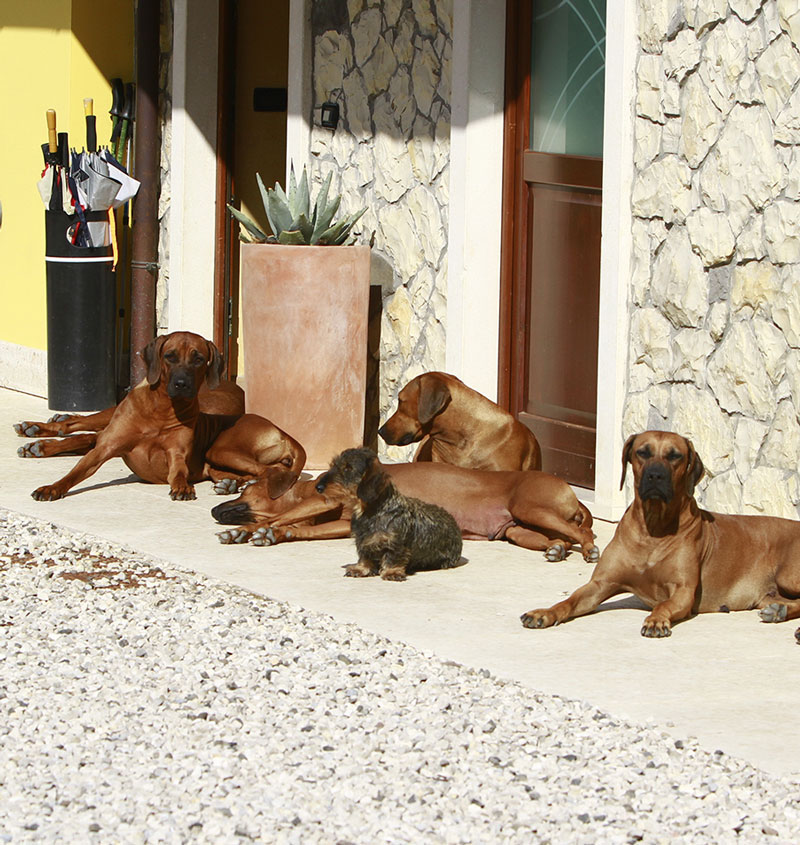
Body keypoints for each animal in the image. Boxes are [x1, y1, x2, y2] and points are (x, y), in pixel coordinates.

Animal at [19, 330, 306, 502]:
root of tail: (284, 433)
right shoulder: (106, 447)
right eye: (170, 356)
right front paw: (52, 487)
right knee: (81, 426)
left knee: (271, 471)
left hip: (221, 452)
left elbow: (177, 471)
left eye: (198, 358)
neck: (161, 410)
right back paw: (39, 431)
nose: (181, 383)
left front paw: (181, 487)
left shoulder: (176, 453)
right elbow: (77, 470)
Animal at [212, 454, 600, 560]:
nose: (214, 510)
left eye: (247, 488)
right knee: (561, 538)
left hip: (531, 506)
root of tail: (574, 493)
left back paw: (590, 549)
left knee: (586, 533)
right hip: (520, 528)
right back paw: (556, 549)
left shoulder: (326, 503)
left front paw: (253, 531)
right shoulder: (337, 522)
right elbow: (297, 528)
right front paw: (265, 533)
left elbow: (285, 519)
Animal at [312, 448, 462, 580]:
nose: (318, 487)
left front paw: (391, 572)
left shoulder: (395, 543)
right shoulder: (363, 541)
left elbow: (393, 557)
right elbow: (364, 556)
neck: (369, 512)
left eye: (348, 468)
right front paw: (361, 569)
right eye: (333, 465)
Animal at [520, 432, 800, 636]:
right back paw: (778, 611)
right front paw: (544, 612)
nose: (656, 475)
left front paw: (656, 620)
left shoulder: (683, 591)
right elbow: (569, 601)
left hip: (788, 575)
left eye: (675, 456)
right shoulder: (601, 584)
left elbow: (665, 604)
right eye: (642, 452)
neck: (652, 531)